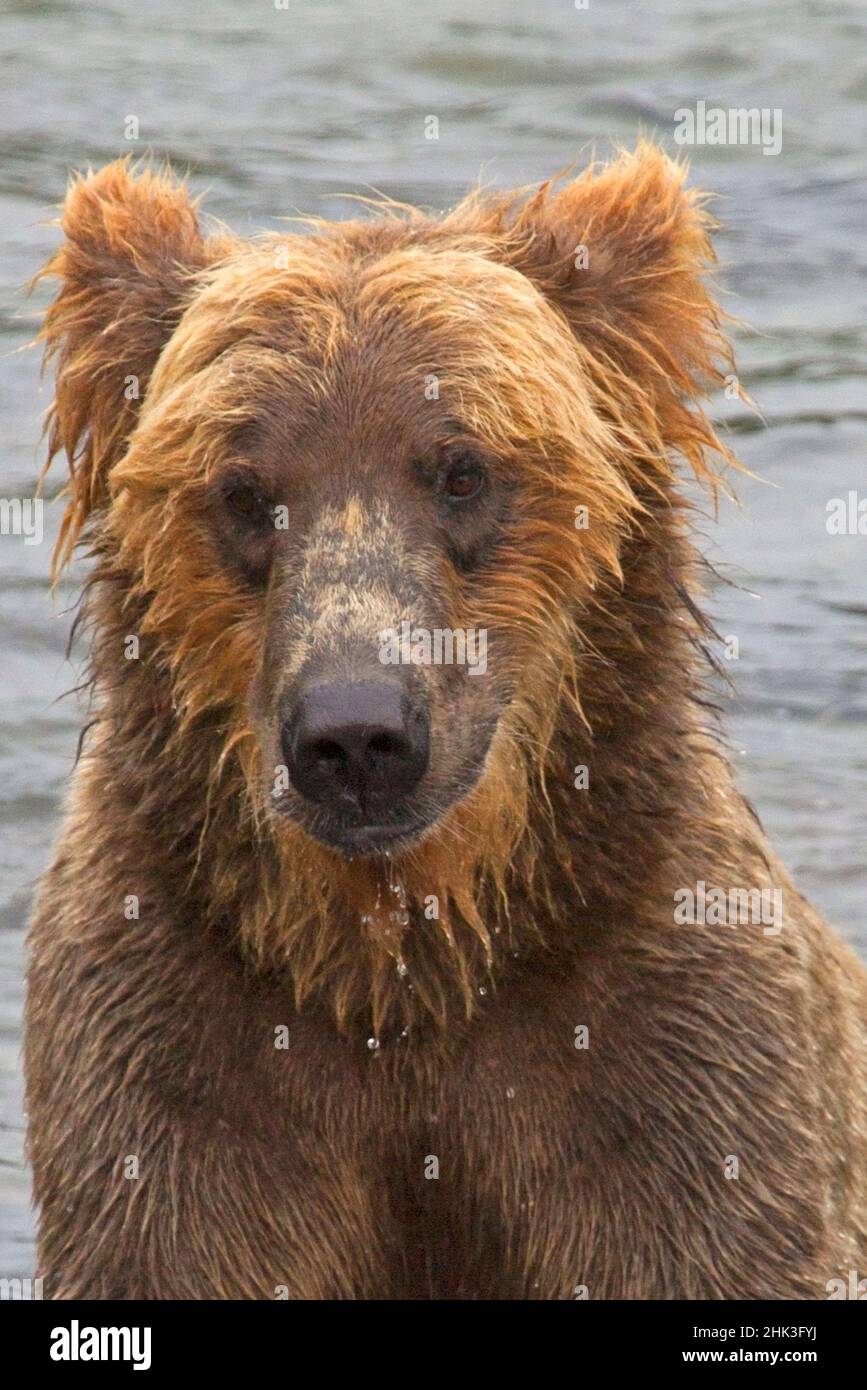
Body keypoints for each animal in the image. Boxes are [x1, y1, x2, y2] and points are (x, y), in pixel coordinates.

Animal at [27, 141, 867, 1289]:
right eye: (243, 490)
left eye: (463, 469)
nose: (355, 735)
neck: (407, 955)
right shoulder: (171, 1052)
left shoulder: (670, 1054)